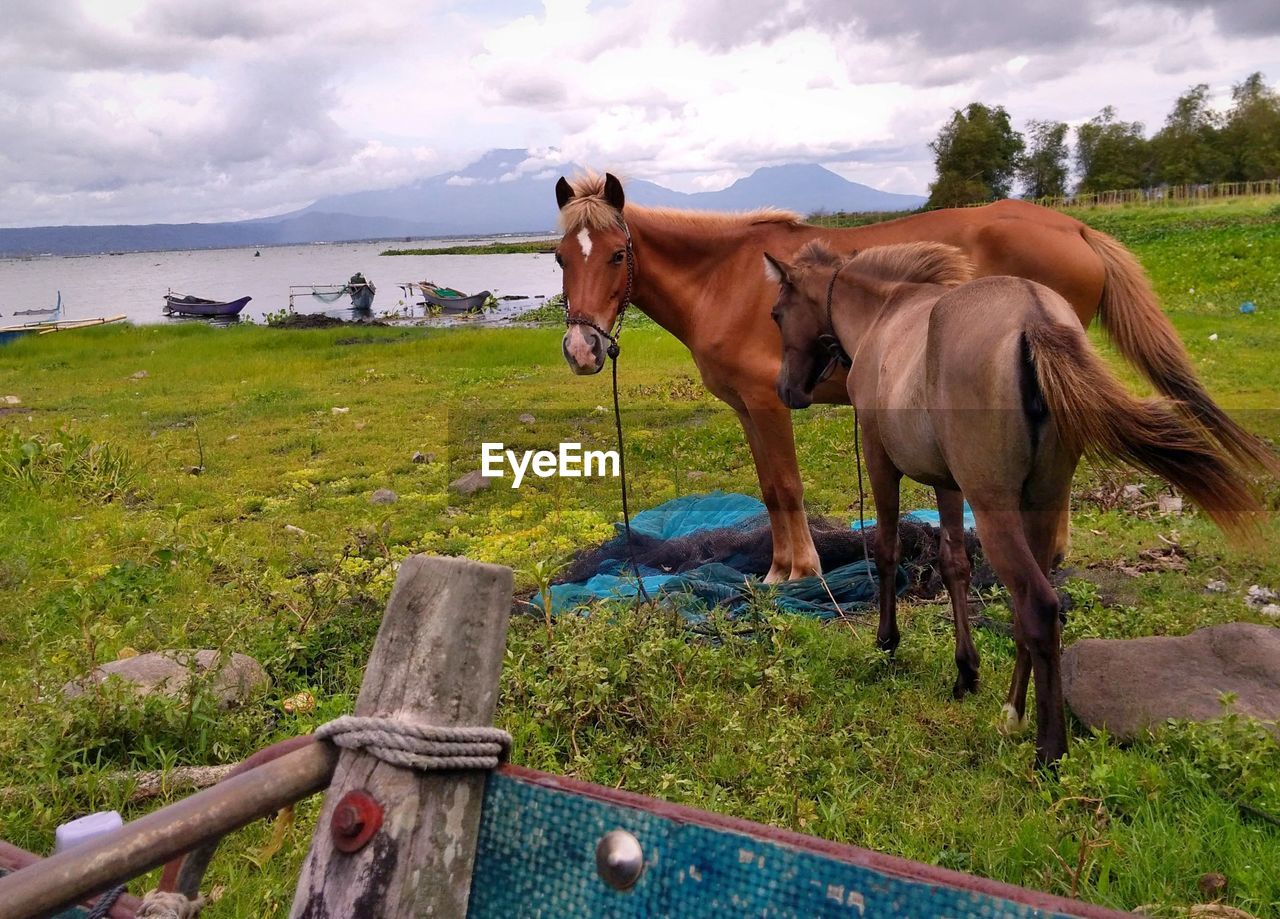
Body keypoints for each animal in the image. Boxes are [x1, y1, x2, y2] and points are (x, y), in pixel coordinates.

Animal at [552, 175, 1280, 586]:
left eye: (616, 254)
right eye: (559, 256)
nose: (582, 348)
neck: (727, 279)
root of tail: (1074, 224)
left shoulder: (768, 402)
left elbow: (786, 487)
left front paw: (796, 572)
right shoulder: (747, 408)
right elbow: (769, 489)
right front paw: (780, 568)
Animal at [757, 240, 1259, 767]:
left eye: (776, 313)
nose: (785, 390)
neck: (884, 313)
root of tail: (1033, 318)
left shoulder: (880, 461)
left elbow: (888, 550)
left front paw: (886, 644)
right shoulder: (949, 484)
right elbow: (954, 563)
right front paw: (966, 671)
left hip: (996, 511)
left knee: (1038, 605)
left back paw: (1048, 751)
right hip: (1038, 504)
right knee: (1031, 614)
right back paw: (1013, 712)